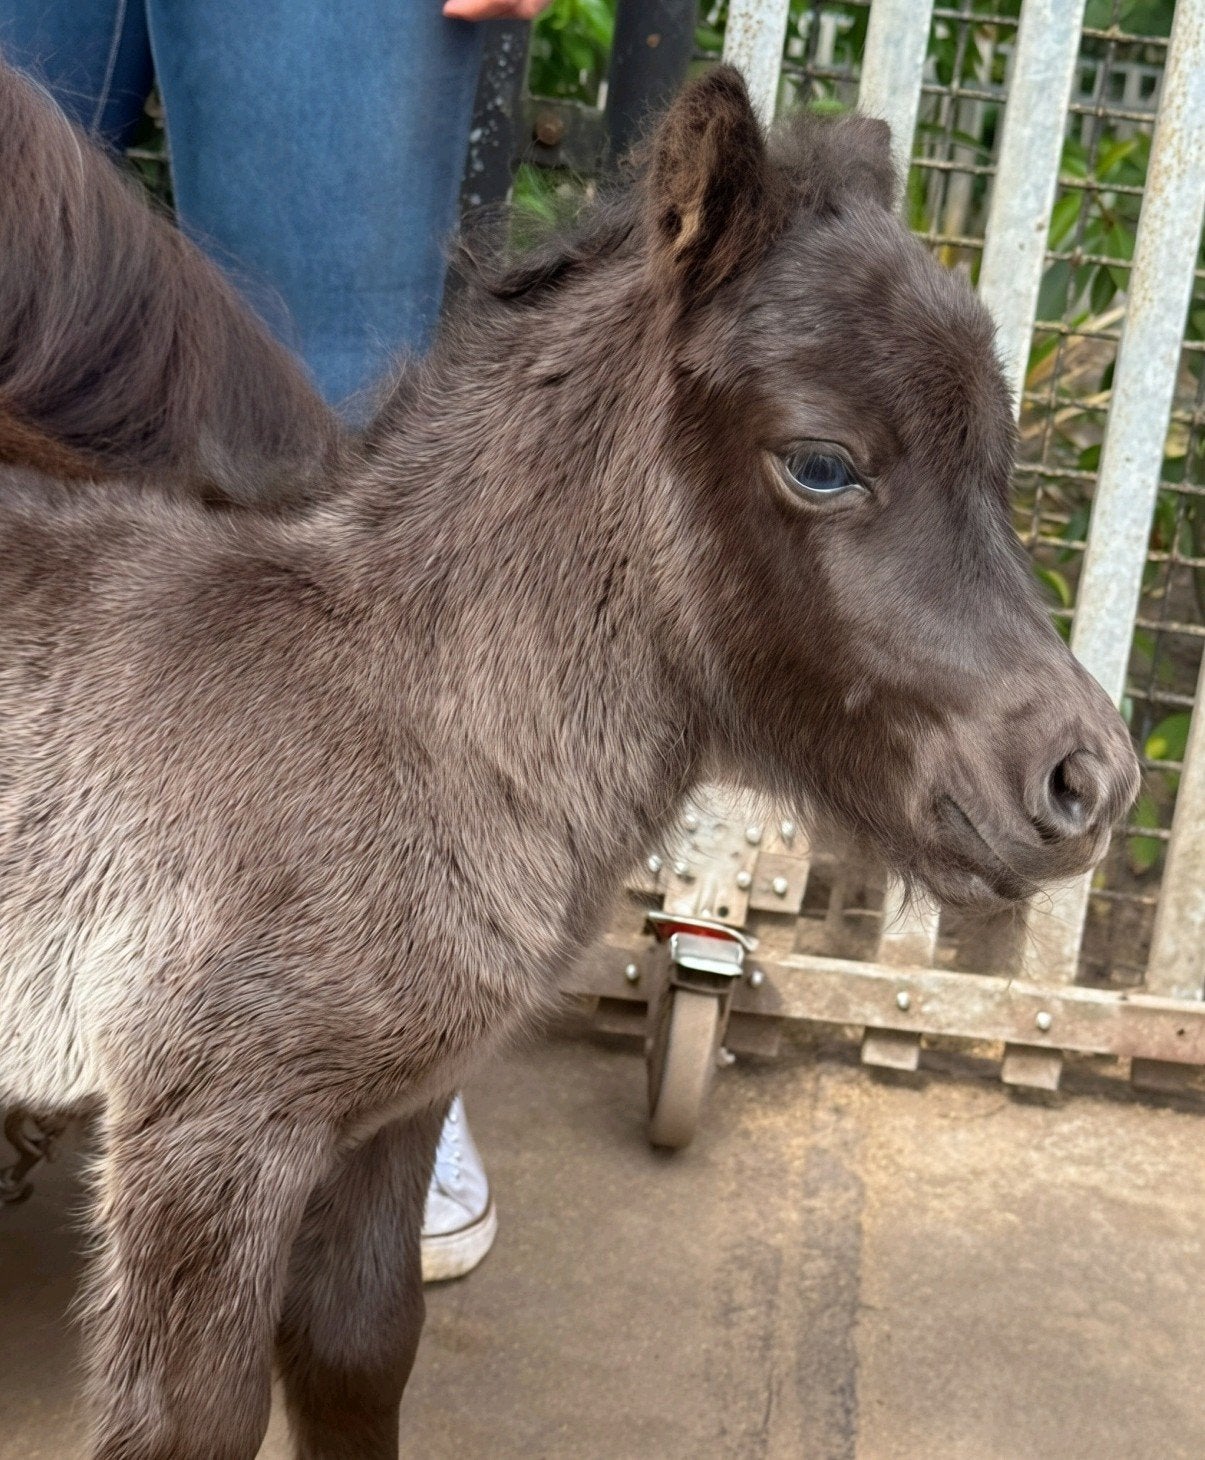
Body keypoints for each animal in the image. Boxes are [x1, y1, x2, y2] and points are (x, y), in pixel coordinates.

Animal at [0, 59, 1139, 1460]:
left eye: (996, 460)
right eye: (821, 462)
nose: (1087, 782)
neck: (393, 716)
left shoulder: (391, 1111)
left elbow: (358, 1348)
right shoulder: (205, 1128)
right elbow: (188, 1424)